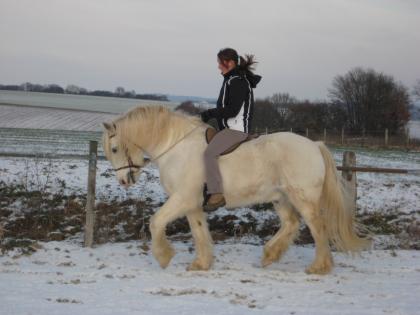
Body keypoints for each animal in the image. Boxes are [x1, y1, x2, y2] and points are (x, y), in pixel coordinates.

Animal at [103, 105, 370, 274]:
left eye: (114, 149)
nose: (124, 181)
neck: (176, 146)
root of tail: (314, 145)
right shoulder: (192, 204)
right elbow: (199, 232)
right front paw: (201, 264)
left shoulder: (182, 199)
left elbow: (155, 222)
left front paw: (164, 256)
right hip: (280, 198)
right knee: (291, 224)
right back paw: (270, 255)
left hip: (303, 198)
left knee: (317, 227)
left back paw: (318, 267)